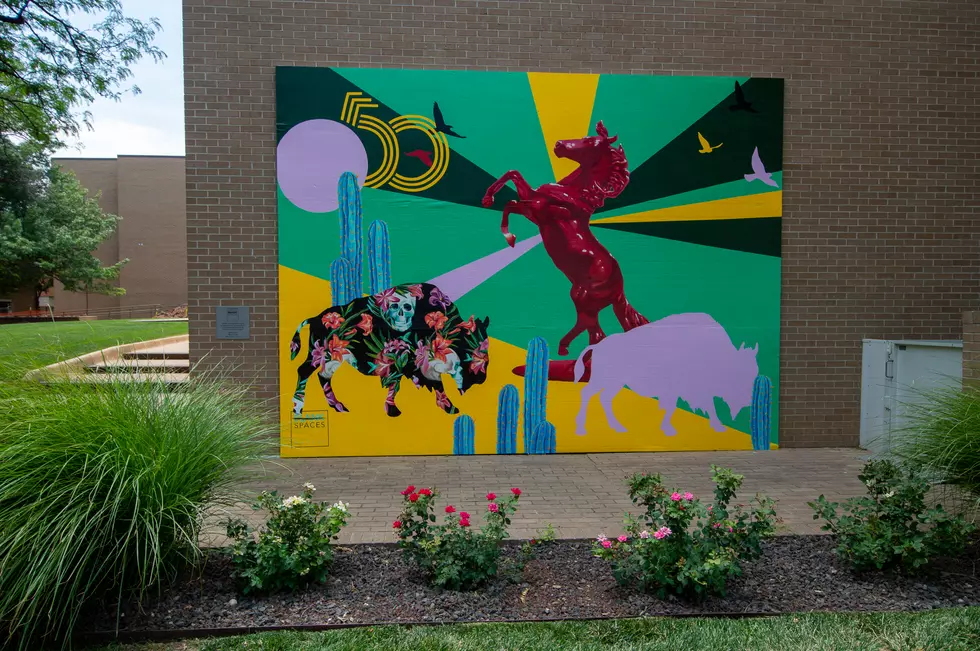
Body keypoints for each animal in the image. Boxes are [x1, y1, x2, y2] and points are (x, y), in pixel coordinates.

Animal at [290, 284, 490, 418]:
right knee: (304, 371)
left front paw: (450, 409)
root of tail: (316, 318)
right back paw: (298, 409)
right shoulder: (404, 362)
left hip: (334, 359)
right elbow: (397, 386)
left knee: (323, 376)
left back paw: (339, 407)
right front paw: (394, 411)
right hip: (319, 355)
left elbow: (433, 386)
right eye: (469, 348)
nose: (481, 378)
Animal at [482, 121, 652, 356]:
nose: (559, 145)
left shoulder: (538, 211)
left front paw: (510, 237)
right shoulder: (532, 205)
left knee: (594, 331)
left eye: (589, 141)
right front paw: (488, 200)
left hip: (584, 299)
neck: (574, 193)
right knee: (591, 329)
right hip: (583, 298)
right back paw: (566, 350)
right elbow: (513, 176)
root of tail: (620, 289)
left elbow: (513, 202)